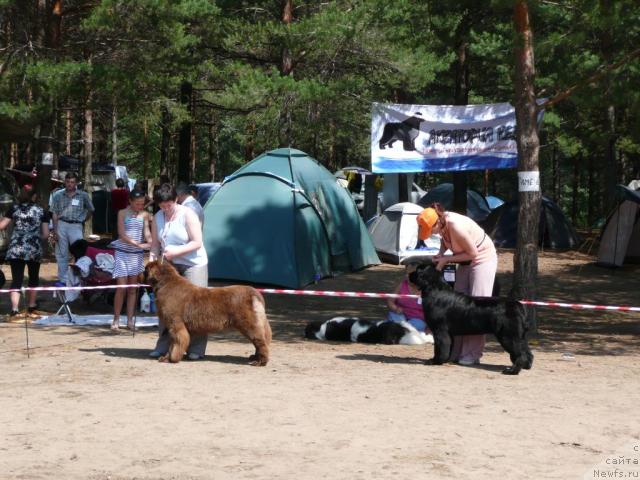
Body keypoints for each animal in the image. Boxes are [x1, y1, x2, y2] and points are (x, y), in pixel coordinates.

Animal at [144, 260, 272, 366]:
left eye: (145, 270)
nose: (140, 273)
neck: (165, 284)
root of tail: (254, 293)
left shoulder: (175, 323)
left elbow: (177, 342)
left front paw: (172, 359)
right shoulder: (172, 325)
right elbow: (172, 344)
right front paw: (166, 358)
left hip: (249, 323)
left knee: (260, 341)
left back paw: (260, 361)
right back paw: (254, 357)